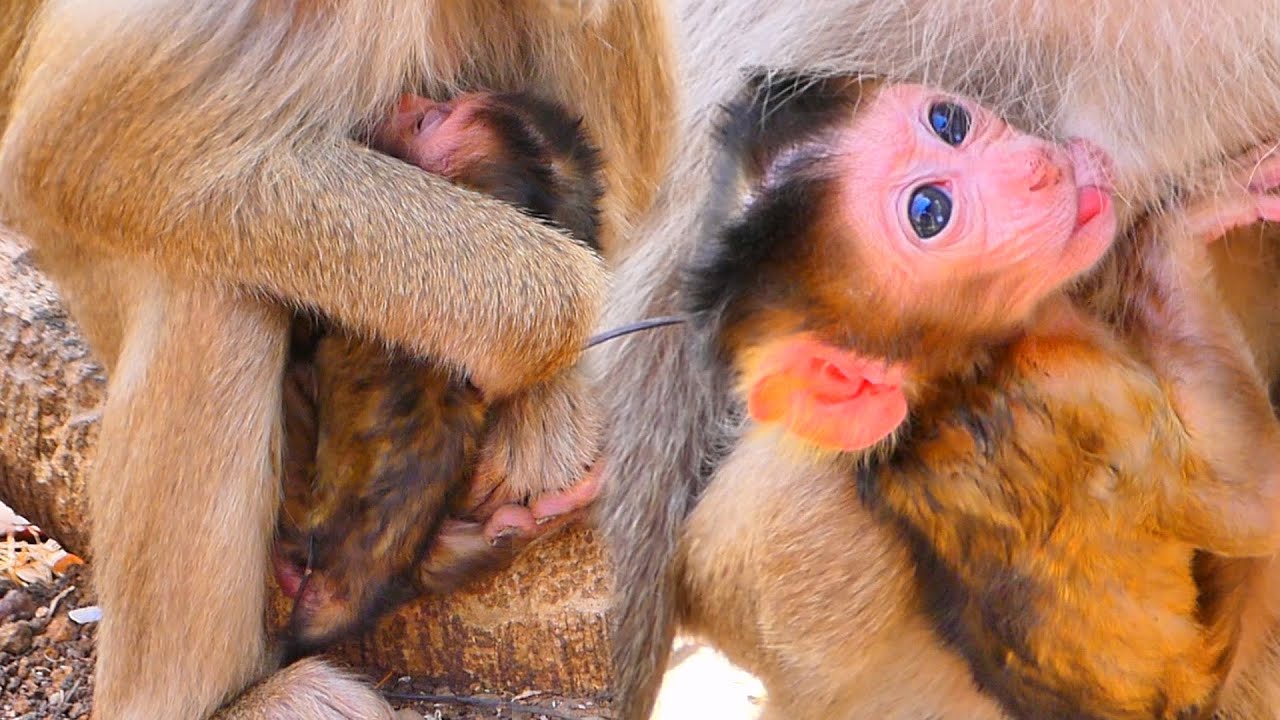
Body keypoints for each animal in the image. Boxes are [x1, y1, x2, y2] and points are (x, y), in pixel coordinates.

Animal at [593, 4, 1280, 719]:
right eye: (929, 211)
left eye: (949, 121)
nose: (1037, 168)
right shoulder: (1075, 393)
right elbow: (1258, 497)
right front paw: (1178, 237)